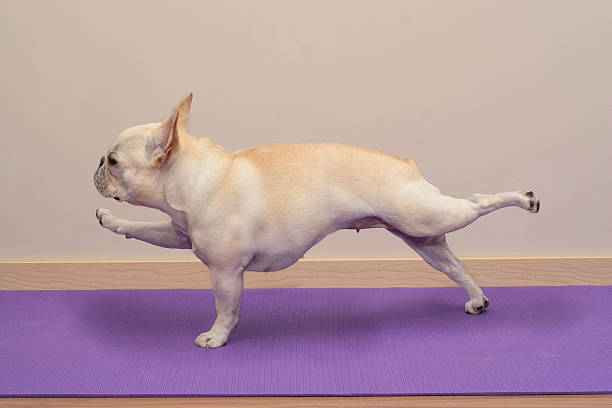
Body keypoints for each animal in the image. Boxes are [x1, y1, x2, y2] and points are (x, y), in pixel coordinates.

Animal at [92, 92, 540, 348]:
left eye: (113, 161)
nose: (96, 163)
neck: (194, 175)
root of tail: (404, 164)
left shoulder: (225, 273)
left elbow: (225, 308)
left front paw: (217, 337)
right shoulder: (179, 233)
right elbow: (143, 230)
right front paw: (111, 221)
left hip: (426, 217)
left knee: (478, 202)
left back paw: (525, 198)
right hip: (424, 238)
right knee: (457, 267)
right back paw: (477, 299)